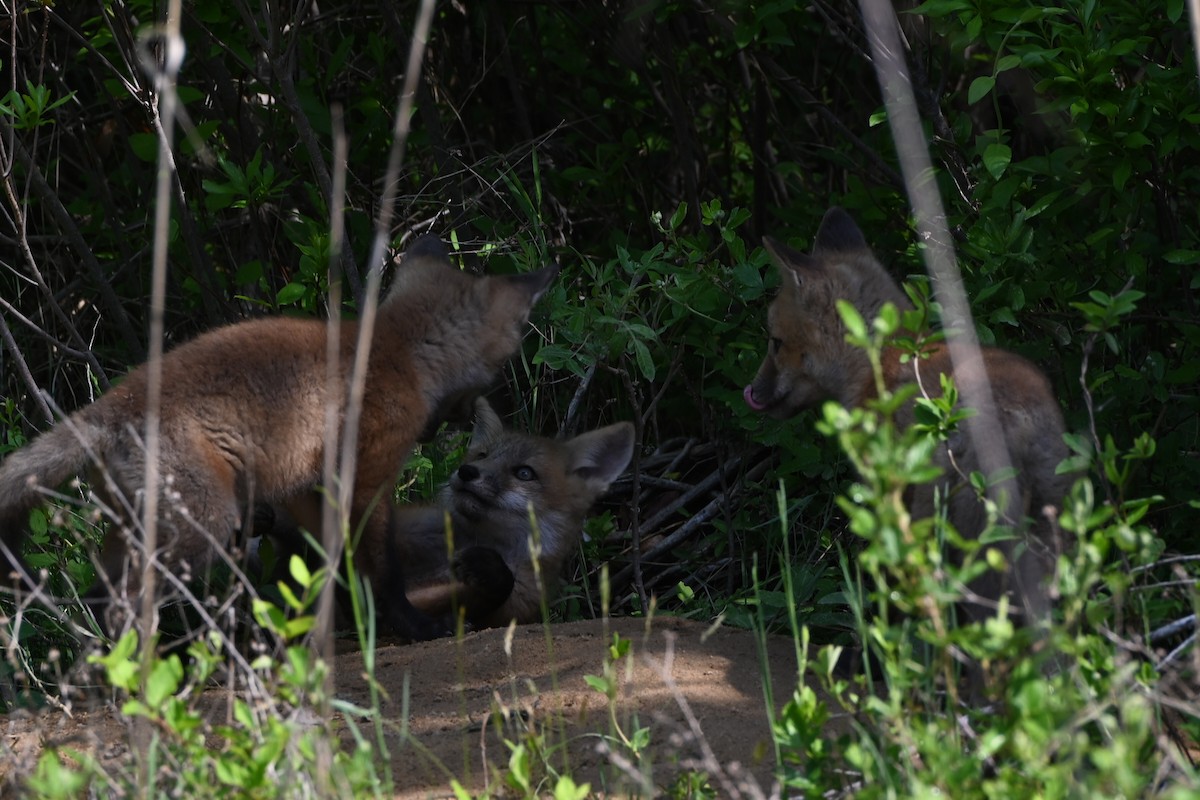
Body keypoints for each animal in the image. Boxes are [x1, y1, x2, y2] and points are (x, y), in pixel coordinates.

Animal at [0, 235, 557, 638]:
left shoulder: (309, 488)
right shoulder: (365, 479)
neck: (397, 349)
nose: (452, 428)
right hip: (201, 528)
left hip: (137, 528)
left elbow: (330, 569)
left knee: (98, 600)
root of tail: (110, 407)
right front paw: (410, 626)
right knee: (122, 606)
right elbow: (381, 571)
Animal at [743, 207, 1072, 623]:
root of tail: (1015, 421)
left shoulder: (887, 498)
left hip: (941, 528)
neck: (878, 359)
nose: (752, 393)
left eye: (775, 341)